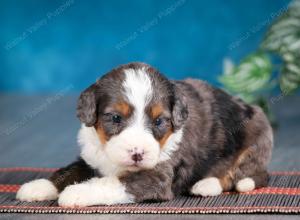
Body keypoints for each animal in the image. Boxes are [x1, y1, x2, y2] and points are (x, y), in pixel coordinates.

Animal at [17, 62, 274, 206]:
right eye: (115, 118)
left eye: (159, 121)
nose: (137, 154)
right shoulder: (90, 157)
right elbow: (68, 171)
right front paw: (38, 186)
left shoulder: (157, 175)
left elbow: (112, 183)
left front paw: (77, 193)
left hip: (256, 140)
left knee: (242, 174)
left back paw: (208, 184)